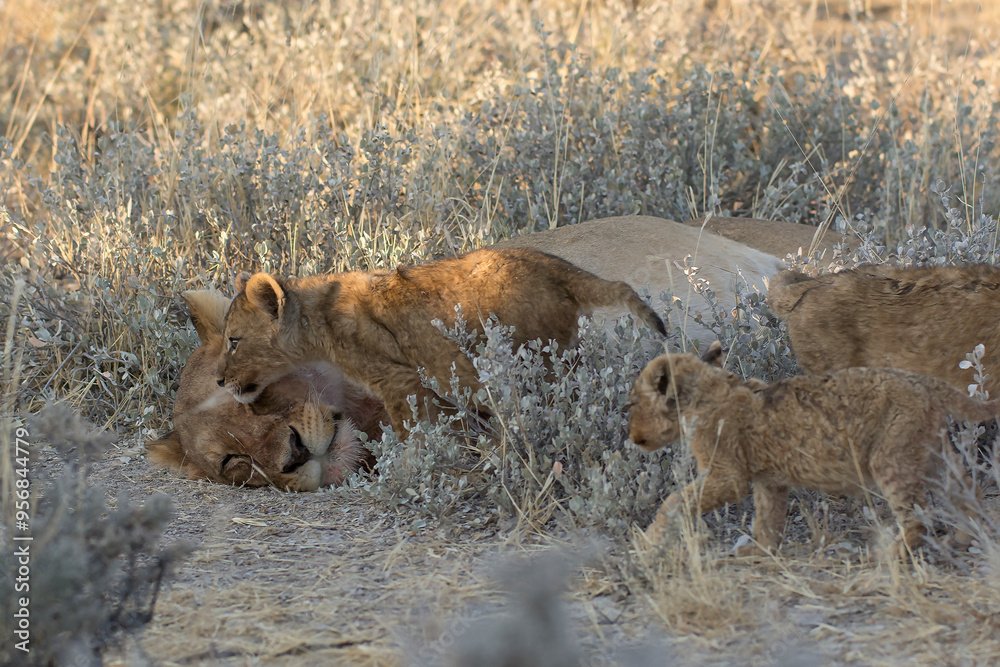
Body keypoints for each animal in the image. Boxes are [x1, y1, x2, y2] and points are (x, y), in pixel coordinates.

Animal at [217, 247, 667, 438]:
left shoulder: (400, 382)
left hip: (536, 360)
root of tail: (559, 268)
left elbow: (410, 434)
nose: (219, 381)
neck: (318, 320)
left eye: (234, 341)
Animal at [627, 341, 997, 555]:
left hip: (891, 459)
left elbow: (674, 501)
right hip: (932, 454)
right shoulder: (770, 482)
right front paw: (760, 551)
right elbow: (767, 518)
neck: (708, 390)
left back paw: (894, 553)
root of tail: (925, 381)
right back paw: (963, 538)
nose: (631, 436)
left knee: (919, 514)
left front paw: (647, 542)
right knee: (967, 490)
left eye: (631, 403)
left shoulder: (728, 476)